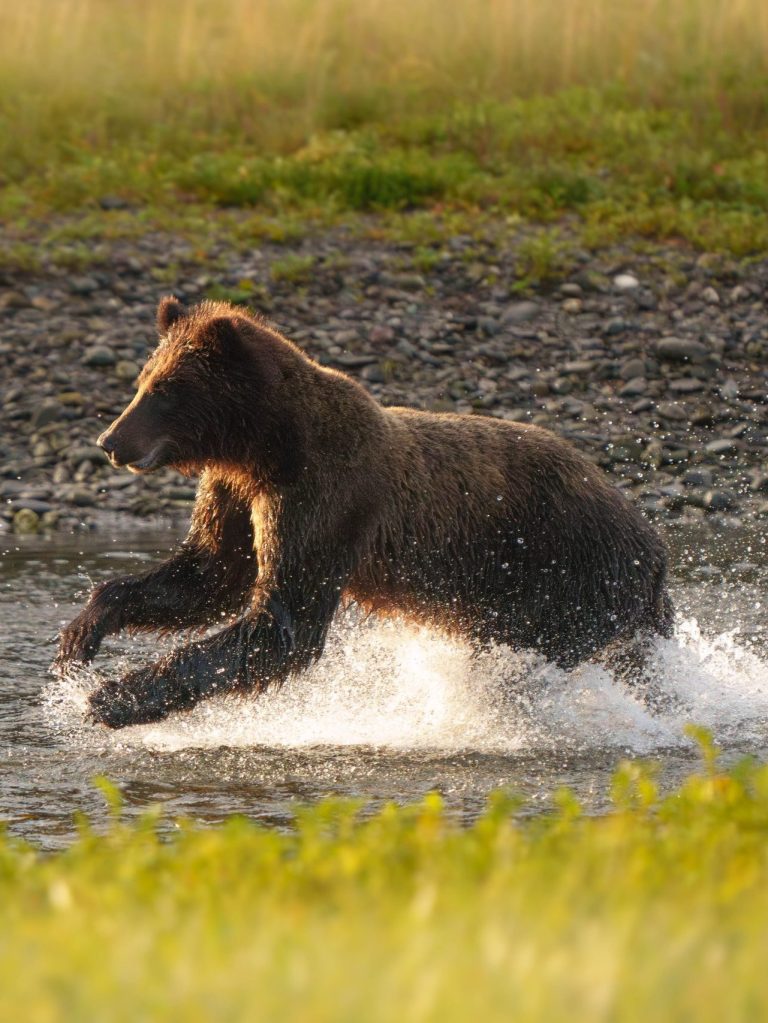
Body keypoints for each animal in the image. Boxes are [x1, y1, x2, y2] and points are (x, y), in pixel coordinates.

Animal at [55, 296, 673, 728]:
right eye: (142, 381)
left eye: (164, 389)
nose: (109, 440)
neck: (264, 445)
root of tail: (653, 544)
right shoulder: (236, 494)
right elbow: (207, 574)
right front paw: (79, 639)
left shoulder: (324, 494)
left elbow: (281, 621)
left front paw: (112, 697)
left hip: (564, 574)